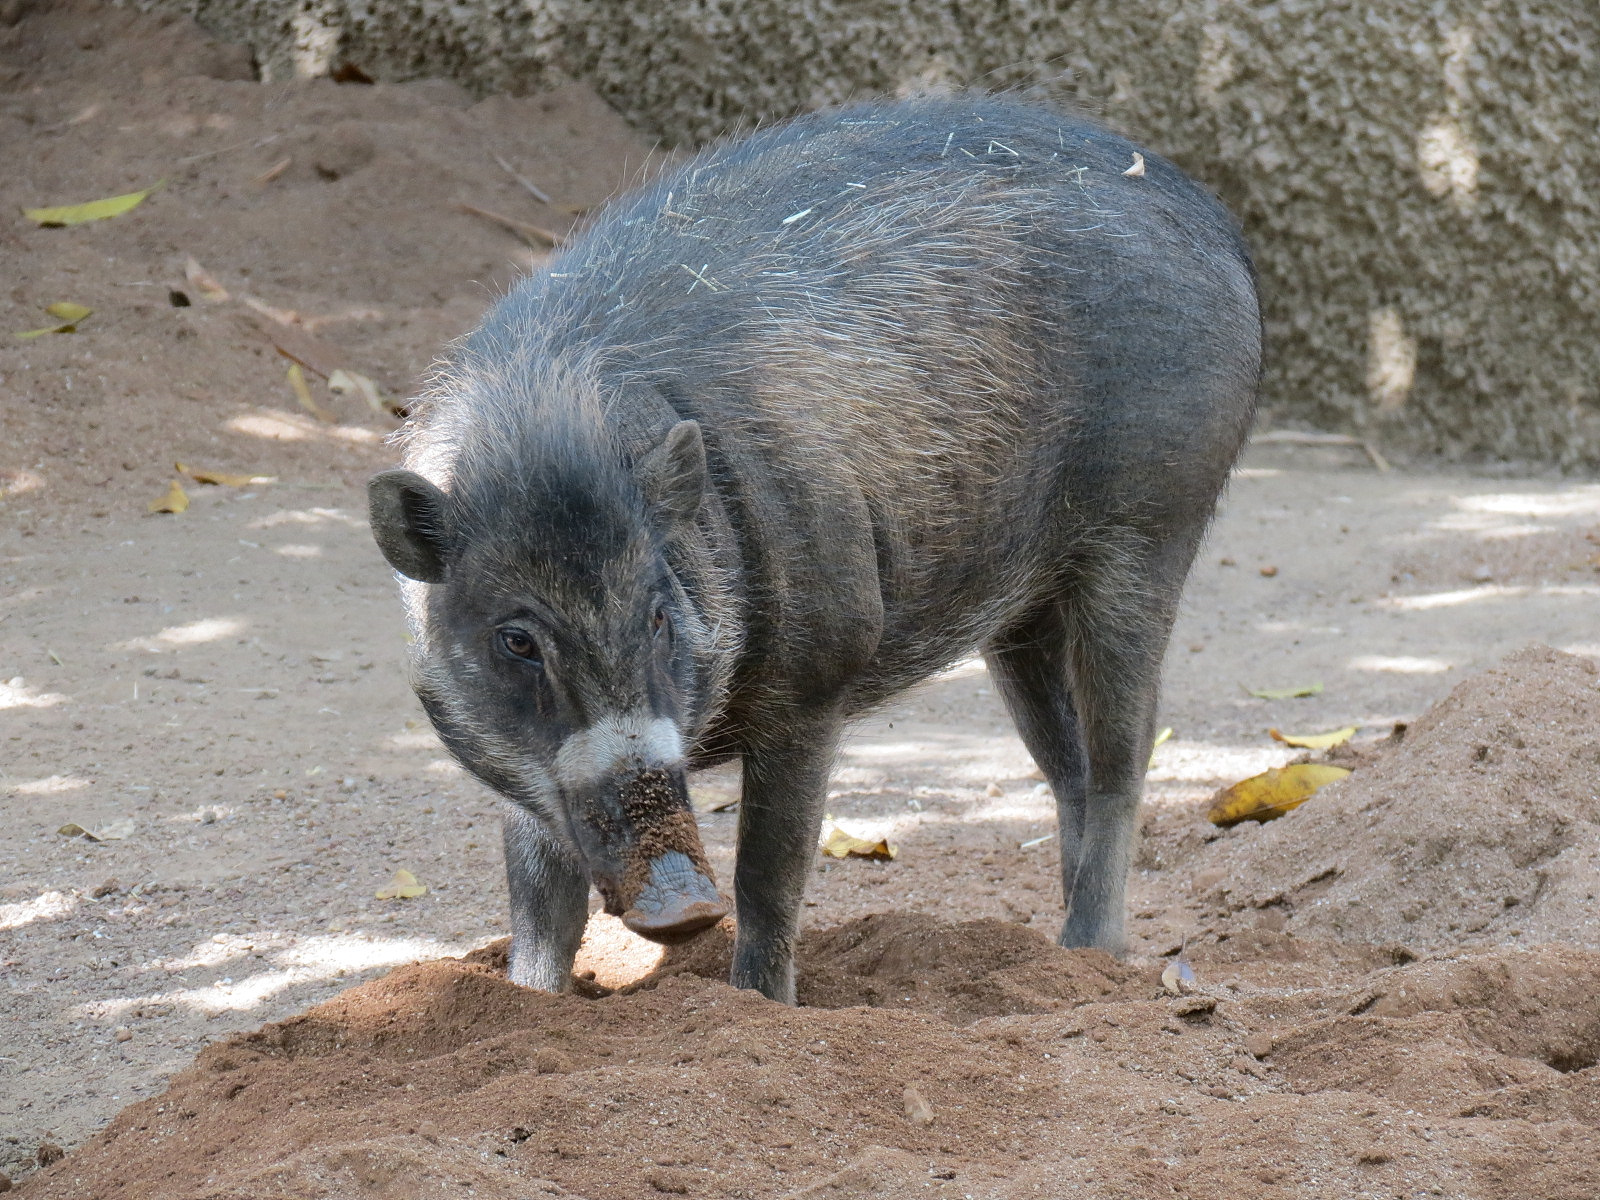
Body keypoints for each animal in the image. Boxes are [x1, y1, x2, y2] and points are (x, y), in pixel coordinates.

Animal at [368, 95, 1260, 1004]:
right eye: (515, 639)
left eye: (657, 614)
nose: (681, 907)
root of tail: (1206, 211)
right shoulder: (523, 767)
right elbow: (538, 900)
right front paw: (533, 1002)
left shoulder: (817, 678)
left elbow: (769, 873)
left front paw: (759, 1007)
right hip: (1024, 606)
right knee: (1067, 768)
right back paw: (1069, 958)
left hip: (1152, 528)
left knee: (1122, 759)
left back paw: (1091, 951)